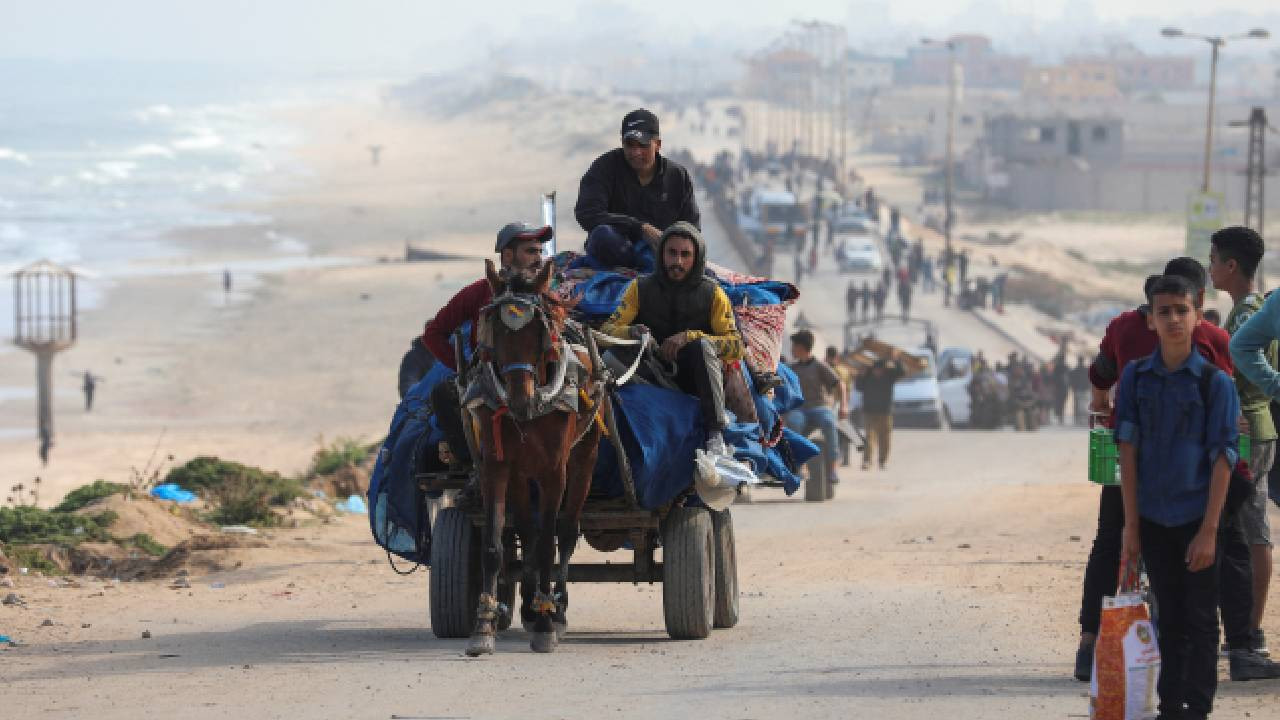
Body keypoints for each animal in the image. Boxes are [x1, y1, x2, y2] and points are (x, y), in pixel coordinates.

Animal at [468, 258, 606, 655]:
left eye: (538, 332)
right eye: (495, 331)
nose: (520, 400)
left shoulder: (553, 472)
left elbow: (548, 544)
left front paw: (546, 625)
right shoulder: (496, 466)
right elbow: (494, 544)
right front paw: (483, 627)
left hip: (584, 459)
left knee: (566, 531)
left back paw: (555, 610)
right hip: (519, 475)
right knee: (526, 532)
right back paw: (532, 606)